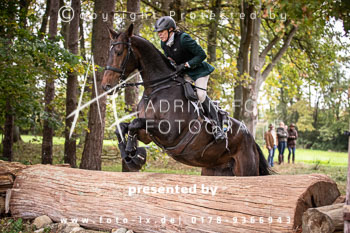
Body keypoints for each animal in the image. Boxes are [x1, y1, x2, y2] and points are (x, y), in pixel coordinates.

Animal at [101, 24, 270, 177]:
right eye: (109, 53)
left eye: (119, 52)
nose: (106, 86)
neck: (157, 88)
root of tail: (251, 139)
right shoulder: (148, 135)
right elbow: (122, 127)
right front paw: (131, 156)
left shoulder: (169, 133)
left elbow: (134, 124)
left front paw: (133, 153)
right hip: (213, 170)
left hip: (246, 170)